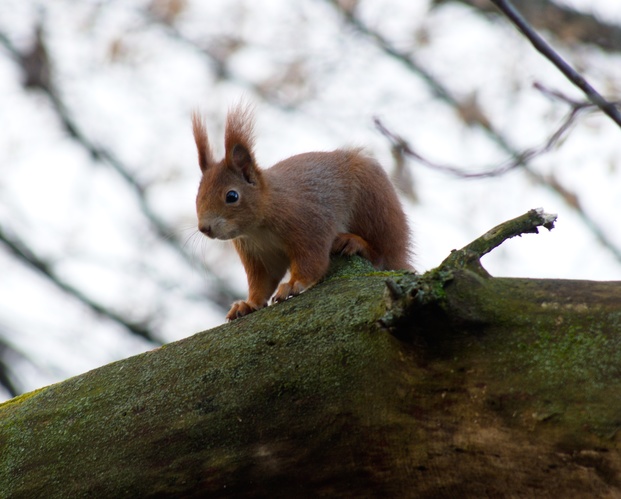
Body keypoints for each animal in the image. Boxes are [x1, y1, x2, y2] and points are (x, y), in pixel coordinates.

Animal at [191, 105, 410, 322]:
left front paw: (292, 285)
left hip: (375, 205)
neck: (258, 227)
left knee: (383, 252)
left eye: (232, 196)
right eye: (198, 194)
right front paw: (248, 304)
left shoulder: (308, 224)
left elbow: (312, 261)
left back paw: (356, 242)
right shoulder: (258, 253)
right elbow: (263, 281)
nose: (204, 228)